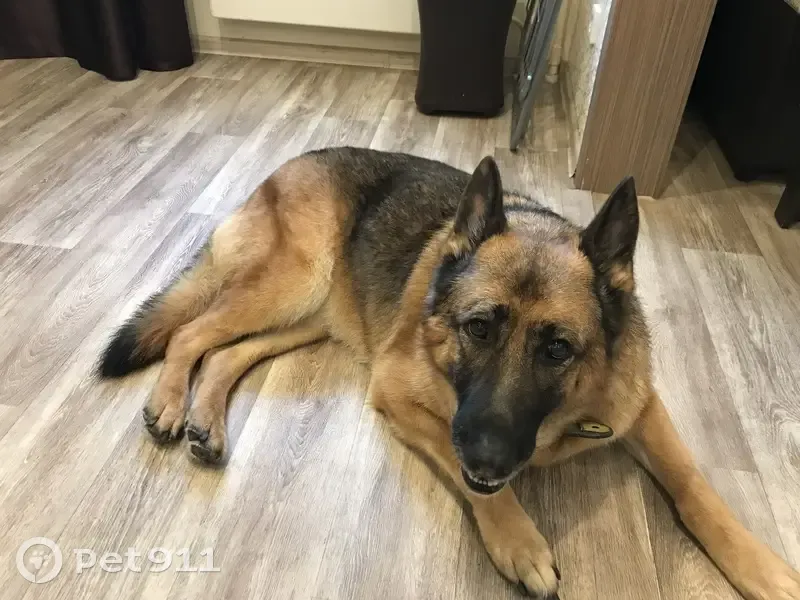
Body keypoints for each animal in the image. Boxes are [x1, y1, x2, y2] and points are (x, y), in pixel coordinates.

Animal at [97, 147, 800, 600]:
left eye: (558, 350)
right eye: (479, 328)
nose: (489, 456)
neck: (562, 422)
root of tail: (292, 161)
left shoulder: (640, 405)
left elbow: (694, 485)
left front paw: (760, 566)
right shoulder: (401, 397)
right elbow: (477, 482)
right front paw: (519, 541)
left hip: (312, 315)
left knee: (224, 353)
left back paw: (206, 422)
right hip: (291, 283)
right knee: (190, 333)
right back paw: (170, 403)